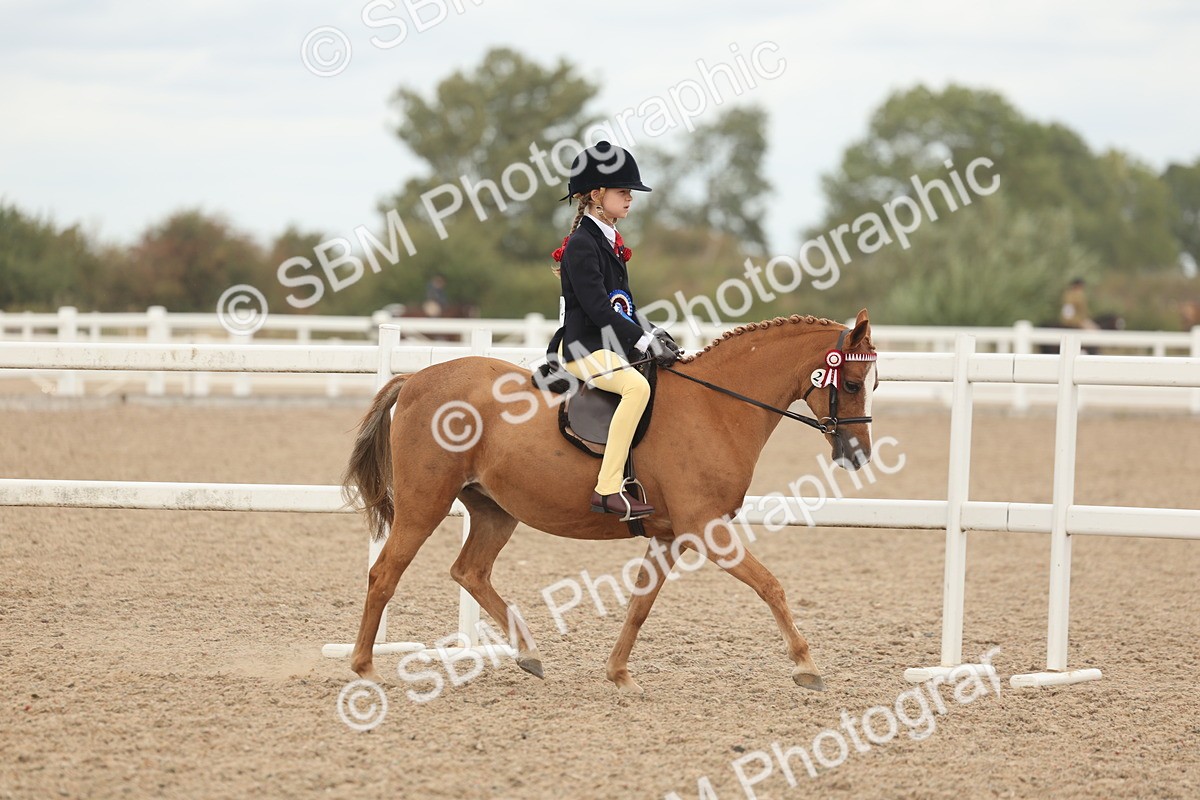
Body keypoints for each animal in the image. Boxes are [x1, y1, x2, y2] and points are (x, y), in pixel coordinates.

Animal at [342, 309, 878, 693]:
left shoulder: (670, 535)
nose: (858, 455)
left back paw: (529, 652)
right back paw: (365, 668)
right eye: (851, 384)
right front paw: (807, 666)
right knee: (385, 573)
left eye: (873, 384)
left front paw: (619, 674)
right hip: (425, 504)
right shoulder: (706, 528)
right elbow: (771, 586)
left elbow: (640, 604)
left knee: (469, 571)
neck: (716, 408)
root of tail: (414, 380)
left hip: (495, 510)